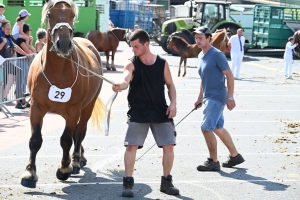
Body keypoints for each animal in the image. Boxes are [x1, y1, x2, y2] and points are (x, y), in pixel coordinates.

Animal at [20, 0, 106, 188]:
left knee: (79, 132)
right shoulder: (36, 107)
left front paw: (64, 168)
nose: (64, 44)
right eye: (49, 15)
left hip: (86, 107)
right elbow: (35, 140)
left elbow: (66, 139)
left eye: (72, 15)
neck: (58, 71)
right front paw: (29, 173)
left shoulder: (74, 109)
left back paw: (75, 161)